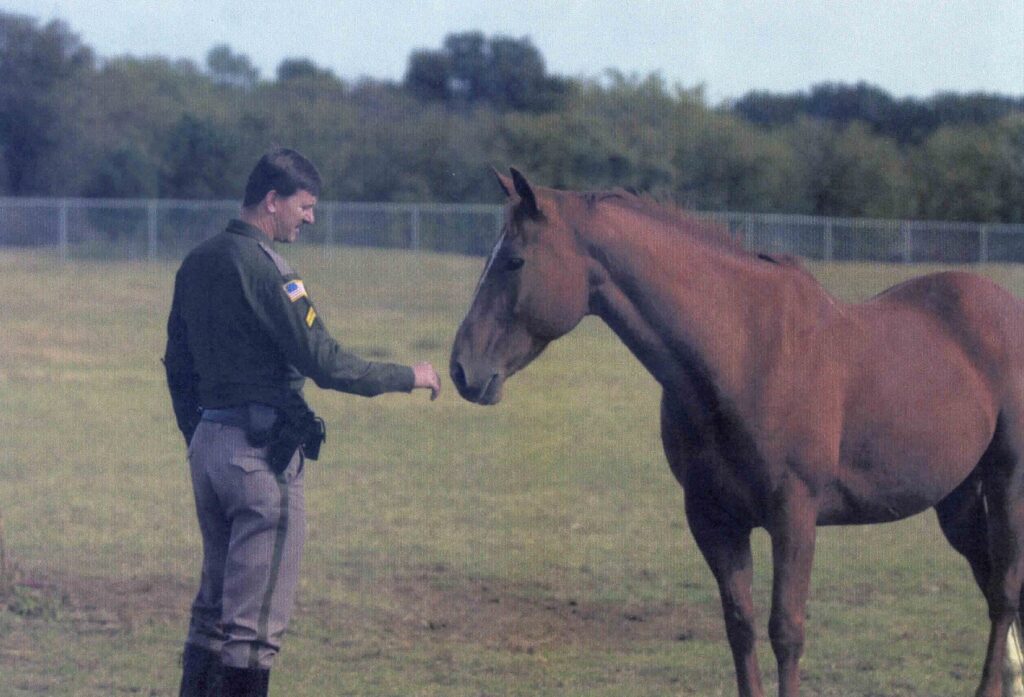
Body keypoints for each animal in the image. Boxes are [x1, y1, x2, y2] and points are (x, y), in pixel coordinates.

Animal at [449, 168, 1024, 697]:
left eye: (514, 261)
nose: (461, 370)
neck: (744, 350)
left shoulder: (794, 514)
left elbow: (786, 632)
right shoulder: (713, 517)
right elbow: (740, 628)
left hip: (1006, 482)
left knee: (1004, 591)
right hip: (955, 498)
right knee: (990, 583)